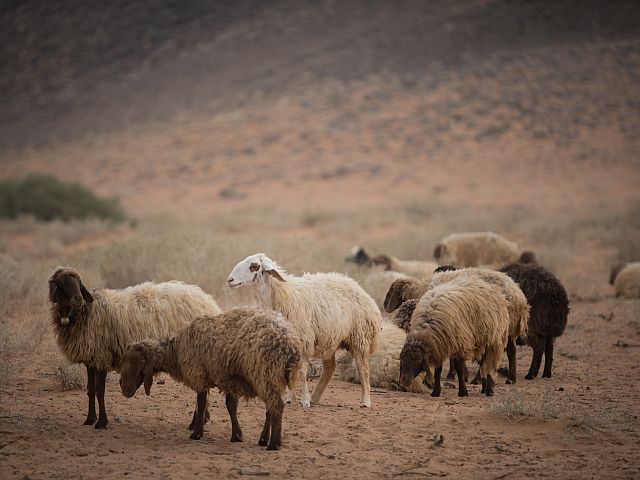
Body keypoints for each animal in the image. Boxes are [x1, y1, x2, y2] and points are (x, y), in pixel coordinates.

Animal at [48, 266, 221, 428]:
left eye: (78, 283)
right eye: (61, 284)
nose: (79, 299)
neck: (86, 312)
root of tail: (208, 302)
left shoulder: (101, 356)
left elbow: (100, 390)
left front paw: (102, 422)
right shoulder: (91, 359)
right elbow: (90, 390)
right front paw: (90, 419)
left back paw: (195, 423)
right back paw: (200, 420)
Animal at [228, 253, 382, 406]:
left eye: (254, 266)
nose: (230, 280)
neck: (281, 294)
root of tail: (358, 287)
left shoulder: (302, 341)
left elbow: (302, 372)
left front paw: (304, 400)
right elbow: (290, 372)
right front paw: (290, 399)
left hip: (360, 338)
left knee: (363, 369)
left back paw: (365, 400)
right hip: (330, 339)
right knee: (329, 368)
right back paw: (315, 396)